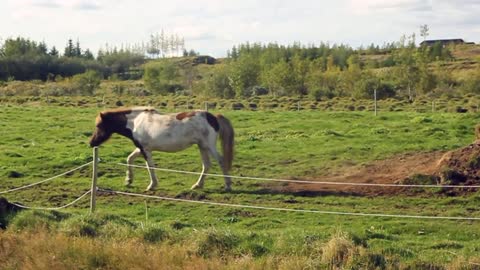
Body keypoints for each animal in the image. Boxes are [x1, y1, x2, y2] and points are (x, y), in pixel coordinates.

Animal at [89, 106, 235, 191]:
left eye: (98, 126)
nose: (91, 143)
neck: (135, 122)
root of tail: (213, 117)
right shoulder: (141, 148)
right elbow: (129, 159)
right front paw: (128, 180)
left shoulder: (145, 150)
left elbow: (150, 167)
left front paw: (151, 185)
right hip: (202, 146)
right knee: (206, 165)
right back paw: (197, 185)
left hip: (209, 146)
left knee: (221, 161)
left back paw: (227, 185)